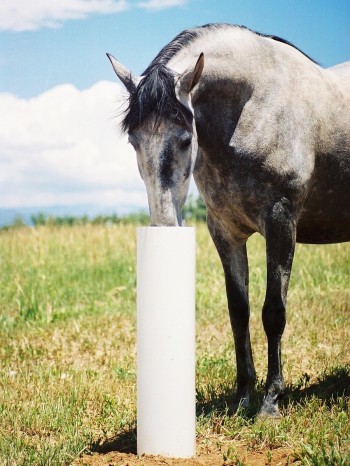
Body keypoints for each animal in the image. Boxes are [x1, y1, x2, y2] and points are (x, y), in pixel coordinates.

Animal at [107, 23, 350, 416]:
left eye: (185, 139)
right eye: (133, 141)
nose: (164, 225)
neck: (255, 108)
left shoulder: (281, 224)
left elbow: (273, 313)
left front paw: (270, 402)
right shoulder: (225, 231)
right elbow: (239, 312)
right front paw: (242, 398)